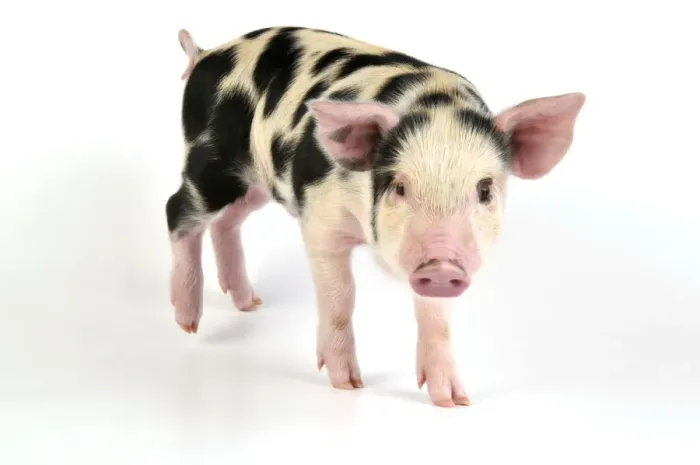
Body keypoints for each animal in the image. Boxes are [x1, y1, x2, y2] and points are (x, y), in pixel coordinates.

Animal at [167, 26, 585, 407]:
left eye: (484, 189)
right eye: (399, 186)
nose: (441, 265)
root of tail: (205, 56)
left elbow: (436, 317)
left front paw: (453, 401)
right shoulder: (320, 220)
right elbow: (341, 296)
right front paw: (349, 385)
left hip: (253, 184)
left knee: (227, 222)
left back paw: (250, 303)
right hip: (210, 163)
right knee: (178, 212)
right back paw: (187, 323)